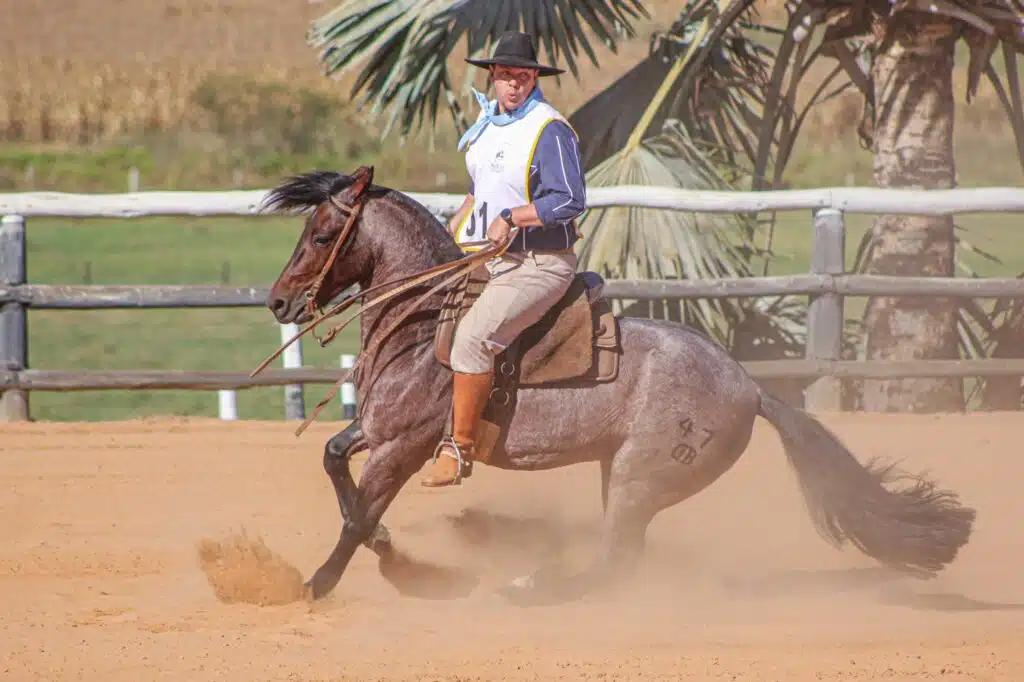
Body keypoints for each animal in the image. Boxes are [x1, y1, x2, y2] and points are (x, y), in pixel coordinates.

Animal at [260, 165, 976, 605]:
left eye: (321, 234)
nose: (278, 302)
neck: (424, 320)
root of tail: (750, 388)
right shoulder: (377, 429)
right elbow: (338, 470)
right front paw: (389, 553)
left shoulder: (405, 447)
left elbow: (359, 515)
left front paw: (328, 583)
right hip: (620, 474)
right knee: (618, 561)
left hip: (639, 479)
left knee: (615, 561)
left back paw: (531, 590)